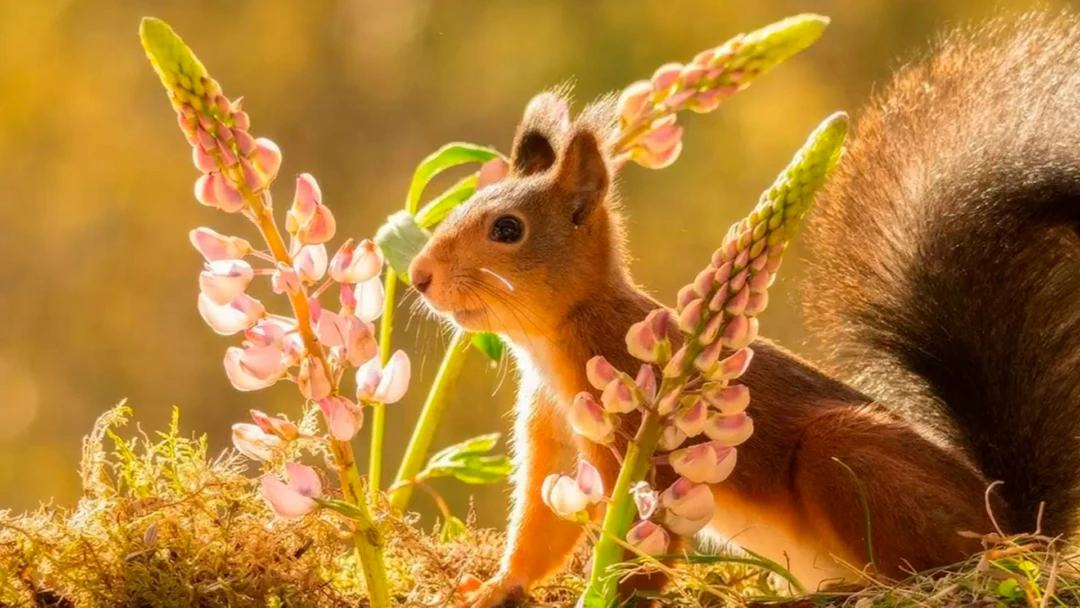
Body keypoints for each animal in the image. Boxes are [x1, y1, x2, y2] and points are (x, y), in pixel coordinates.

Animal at [408, 10, 1080, 607]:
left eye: (507, 229)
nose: (417, 276)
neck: (555, 339)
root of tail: (1010, 527)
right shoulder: (554, 435)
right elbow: (541, 535)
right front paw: (494, 588)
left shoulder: (639, 448)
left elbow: (641, 549)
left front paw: (611, 596)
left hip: (846, 456)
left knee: (929, 572)